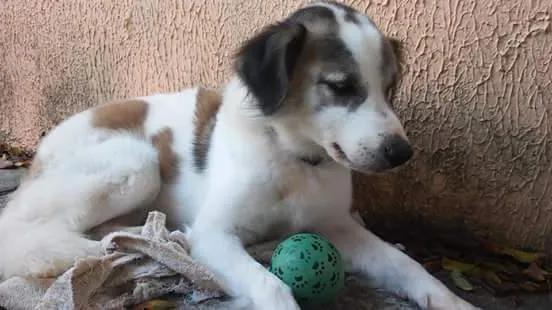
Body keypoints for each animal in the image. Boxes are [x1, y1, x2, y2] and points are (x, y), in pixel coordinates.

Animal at [0, 2, 478, 310]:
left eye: (390, 88)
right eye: (340, 86)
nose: (401, 153)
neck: (294, 157)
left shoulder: (336, 226)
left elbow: (404, 263)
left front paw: (450, 300)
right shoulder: (212, 235)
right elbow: (272, 288)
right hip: (137, 162)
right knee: (23, 232)